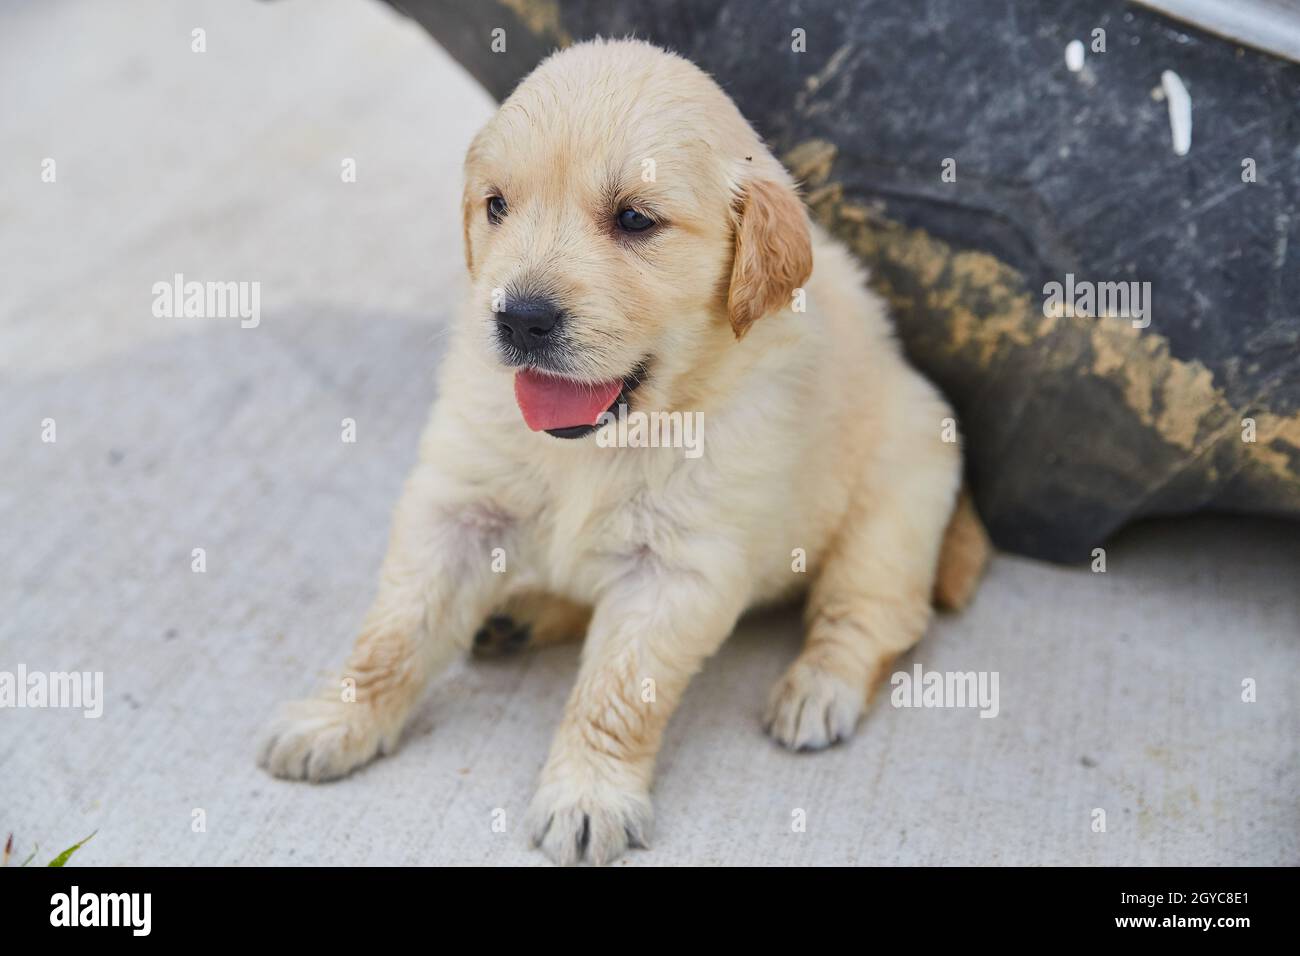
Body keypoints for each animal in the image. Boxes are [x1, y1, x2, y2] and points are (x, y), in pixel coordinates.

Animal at [256, 37, 982, 863]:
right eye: (497, 205)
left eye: (635, 219)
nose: (520, 319)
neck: (610, 437)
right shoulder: (457, 508)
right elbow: (393, 632)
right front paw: (339, 718)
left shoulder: (677, 567)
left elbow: (617, 691)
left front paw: (587, 796)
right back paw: (521, 614)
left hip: (898, 500)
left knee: (873, 614)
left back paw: (819, 687)